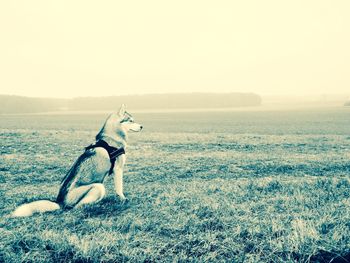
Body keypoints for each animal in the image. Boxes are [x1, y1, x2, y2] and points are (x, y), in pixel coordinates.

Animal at [12, 105, 142, 219]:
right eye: (131, 120)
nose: (142, 127)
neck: (112, 135)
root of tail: (60, 202)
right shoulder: (118, 169)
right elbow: (119, 188)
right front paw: (123, 199)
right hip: (98, 187)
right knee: (77, 207)